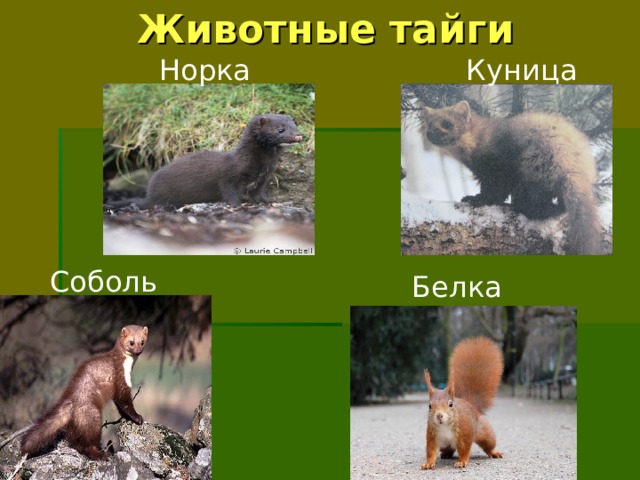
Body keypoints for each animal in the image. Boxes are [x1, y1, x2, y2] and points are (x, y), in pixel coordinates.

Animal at [21, 325, 148, 461]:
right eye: (131, 342)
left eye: (142, 342)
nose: (138, 350)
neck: (127, 365)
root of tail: (69, 400)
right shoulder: (120, 379)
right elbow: (125, 402)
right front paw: (137, 418)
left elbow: (120, 406)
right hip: (91, 416)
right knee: (87, 445)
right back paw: (102, 454)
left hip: (75, 425)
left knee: (75, 442)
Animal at [421, 336, 504, 470]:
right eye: (429, 406)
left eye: (450, 404)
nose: (439, 416)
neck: (445, 426)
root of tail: (471, 405)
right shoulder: (432, 435)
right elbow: (431, 451)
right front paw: (428, 463)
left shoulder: (465, 433)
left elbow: (464, 450)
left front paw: (462, 462)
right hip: (445, 444)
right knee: (449, 448)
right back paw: (446, 454)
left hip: (485, 433)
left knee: (488, 445)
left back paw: (493, 452)